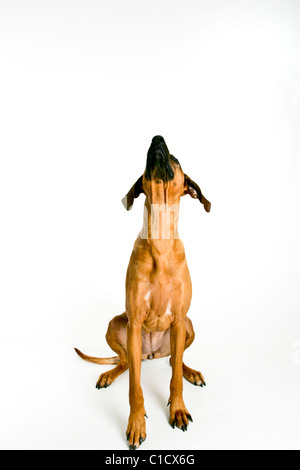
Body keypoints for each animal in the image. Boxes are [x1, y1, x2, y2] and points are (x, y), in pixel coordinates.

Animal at [75, 135, 211, 448]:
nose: (157, 139)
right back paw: (109, 374)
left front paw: (178, 410)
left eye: (176, 159)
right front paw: (136, 424)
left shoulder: (179, 319)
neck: (159, 239)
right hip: (117, 324)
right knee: (128, 362)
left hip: (187, 325)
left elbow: (174, 379)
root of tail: (151, 354)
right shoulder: (135, 322)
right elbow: (135, 387)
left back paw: (191, 372)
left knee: (174, 360)